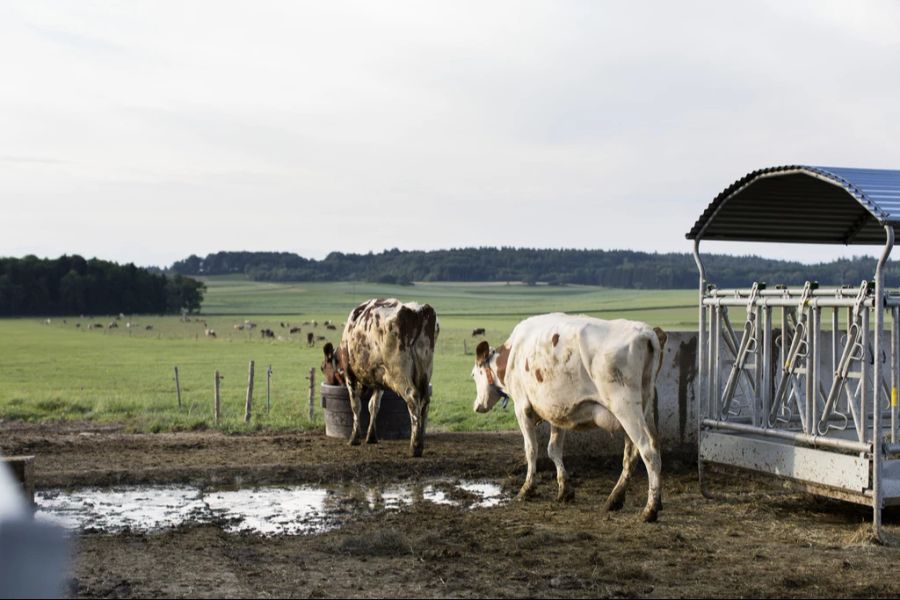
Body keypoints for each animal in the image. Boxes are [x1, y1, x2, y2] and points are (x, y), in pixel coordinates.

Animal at [338, 298, 440, 458]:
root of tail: (418, 311)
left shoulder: (350, 374)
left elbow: (356, 406)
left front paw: (354, 438)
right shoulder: (379, 380)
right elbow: (374, 406)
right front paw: (371, 436)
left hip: (398, 372)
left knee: (412, 397)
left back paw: (415, 446)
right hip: (425, 371)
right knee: (424, 401)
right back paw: (421, 441)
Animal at [474, 314, 664, 520]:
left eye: (474, 374)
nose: (477, 406)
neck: (513, 355)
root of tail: (646, 332)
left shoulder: (522, 407)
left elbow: (531, 449)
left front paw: (527, 489)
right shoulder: (558, 412)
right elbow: (553, 449)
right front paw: (565, 490)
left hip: (626, 408)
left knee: (648, 449)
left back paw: (650, 509)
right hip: (643, 409)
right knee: (632, 454)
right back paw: (615, 499)